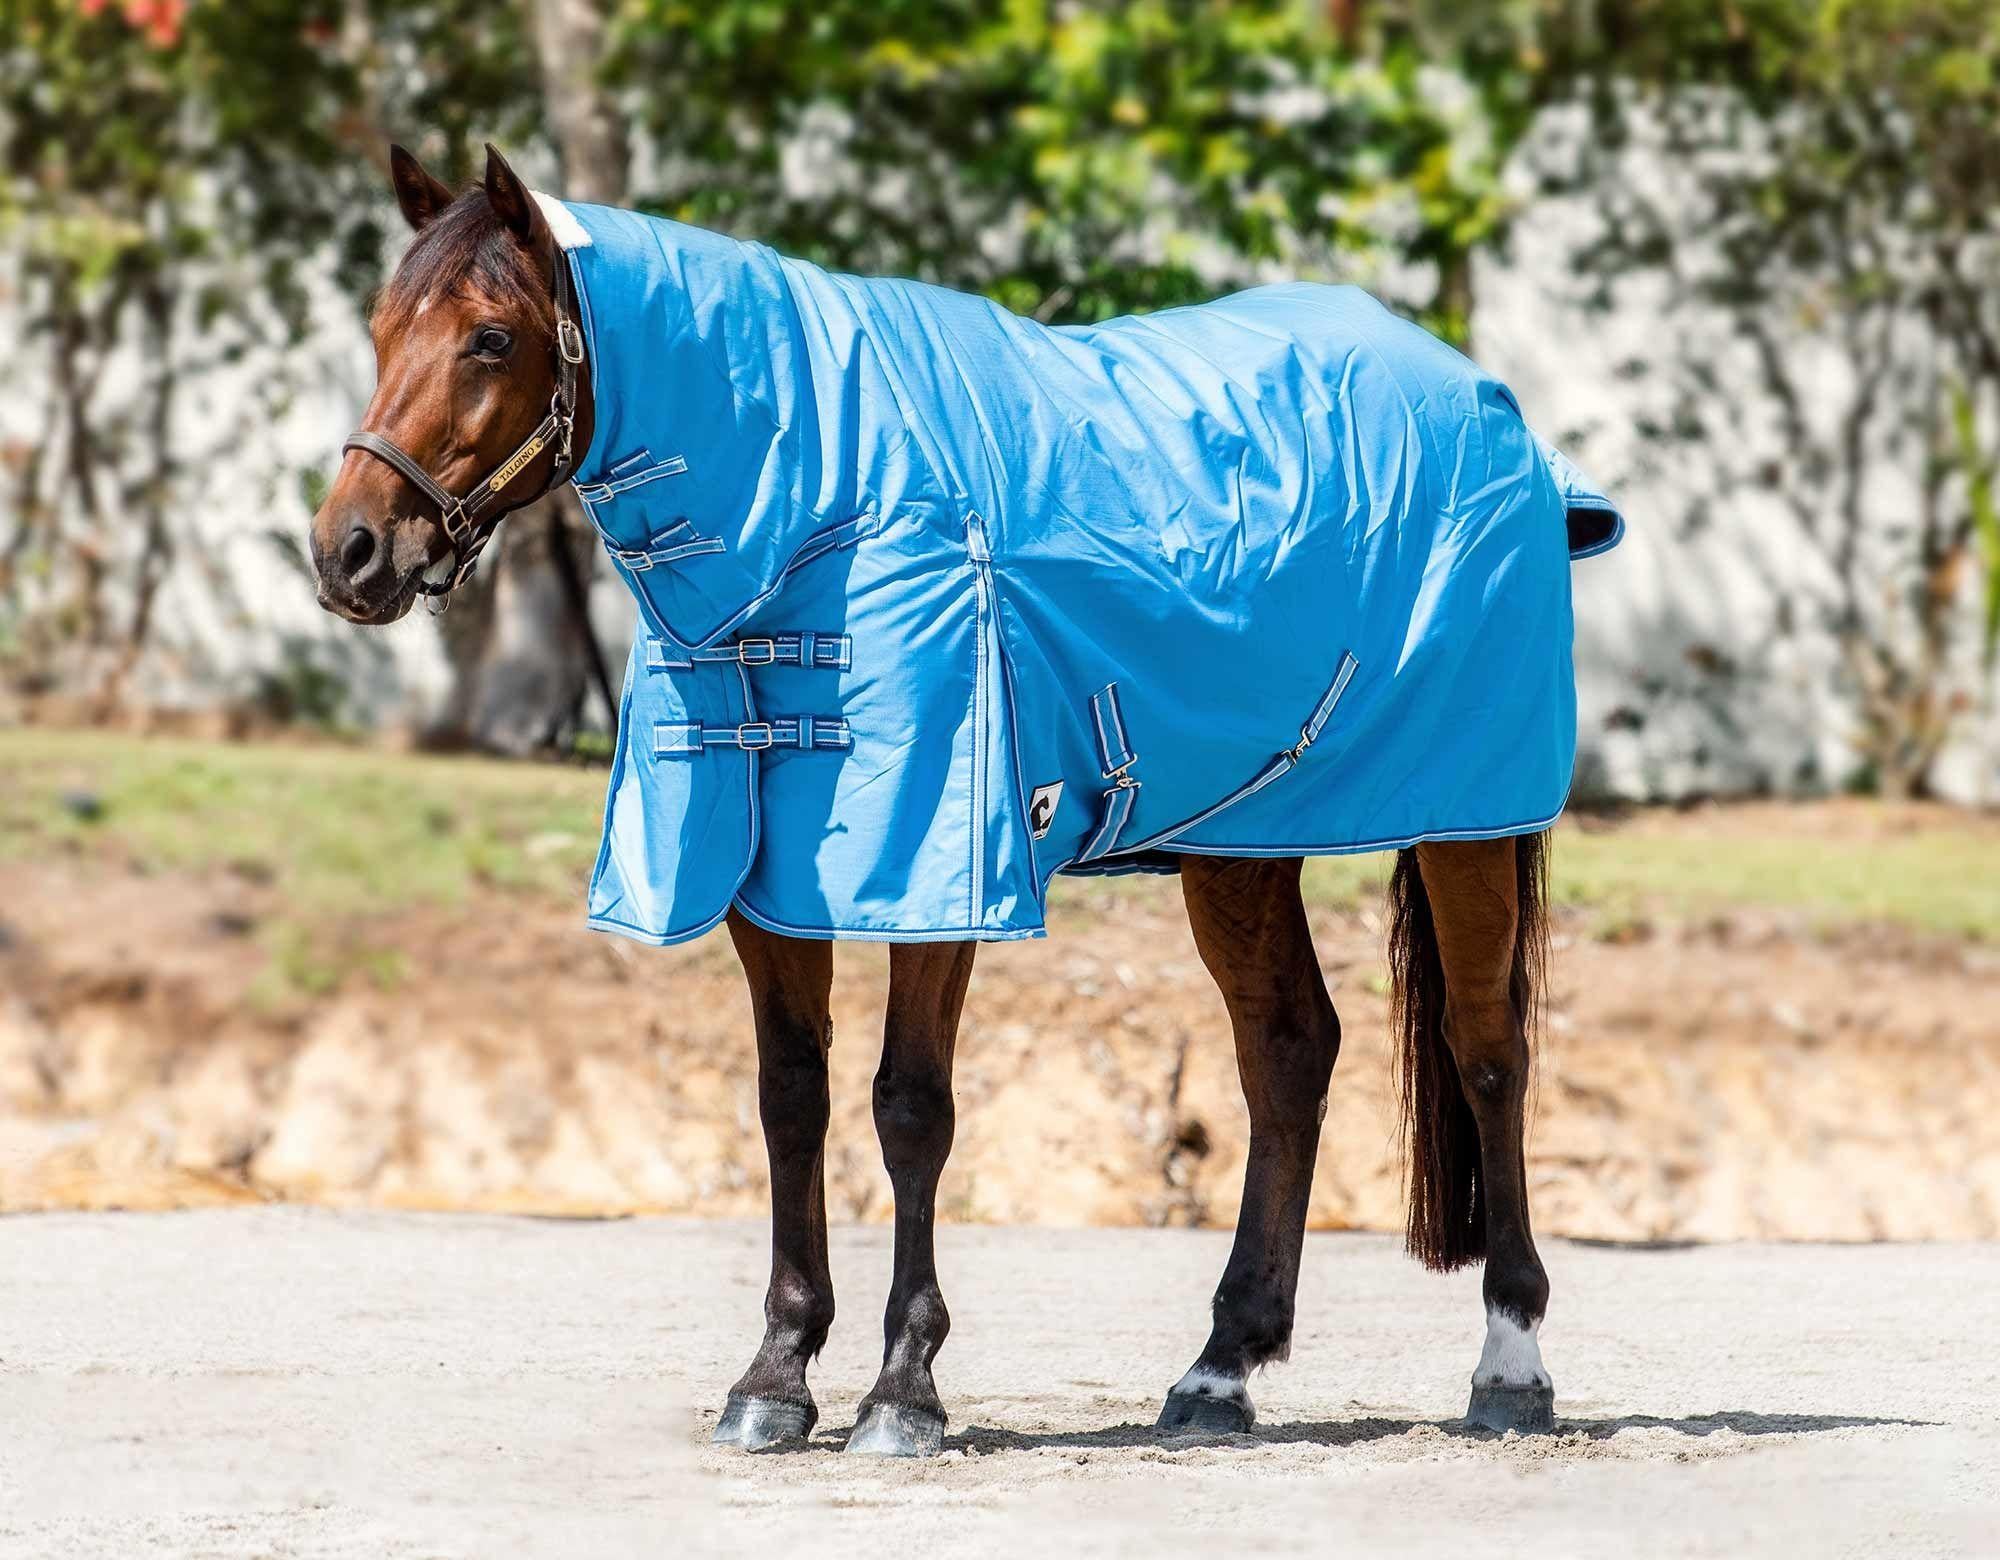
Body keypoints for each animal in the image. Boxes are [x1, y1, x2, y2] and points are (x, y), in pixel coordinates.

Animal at [311, 143, 1612, 1456]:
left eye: (488, 338)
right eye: (379, 327)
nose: (348, 553)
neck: (827, 503)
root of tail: (1488, 408)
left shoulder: (937, 876)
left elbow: (907, 1110)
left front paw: (902, 1388)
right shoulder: (763, 885)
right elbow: (791, 1102)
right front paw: (774, 1376)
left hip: (1463, 822)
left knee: (1486, 1050)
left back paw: (1509, 1366)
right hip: (1238, 843)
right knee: (1288, 1050)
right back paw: (1218, 1371)